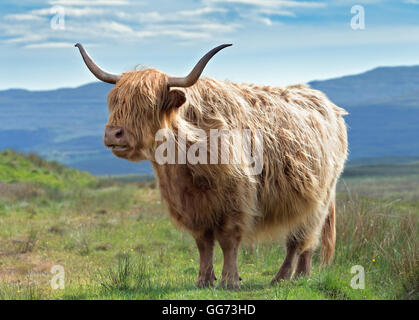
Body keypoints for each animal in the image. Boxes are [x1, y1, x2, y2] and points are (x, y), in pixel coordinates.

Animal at [74, 43, 348, 290]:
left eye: (147, 104)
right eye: (114, 101)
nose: (113, 134)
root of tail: (329, 106)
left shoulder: (235, 200)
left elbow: (228, 241)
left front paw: (229, 281)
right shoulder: (192, 207)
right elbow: (203, 243)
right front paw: (203, 280)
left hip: (318, 200)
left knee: (300, 240)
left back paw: (284, 277)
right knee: (306, 243)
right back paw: (302, 275)